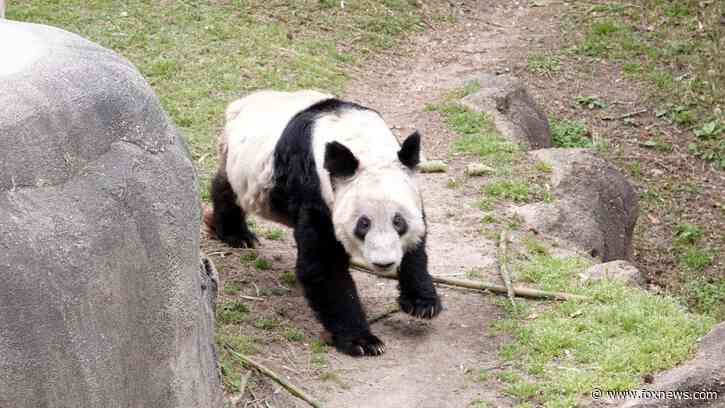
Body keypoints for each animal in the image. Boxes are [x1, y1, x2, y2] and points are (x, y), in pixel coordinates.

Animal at [207, 90, 442, 356]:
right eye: (363, 224)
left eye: (398, 222)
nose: (384, 263)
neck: (363, 144)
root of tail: (242, 103)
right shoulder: (315, 188)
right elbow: (323, 266)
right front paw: (362, 341)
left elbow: (418, 242)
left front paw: (422, 302)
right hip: (240, 165)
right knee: (227, 188)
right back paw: (237, 234)